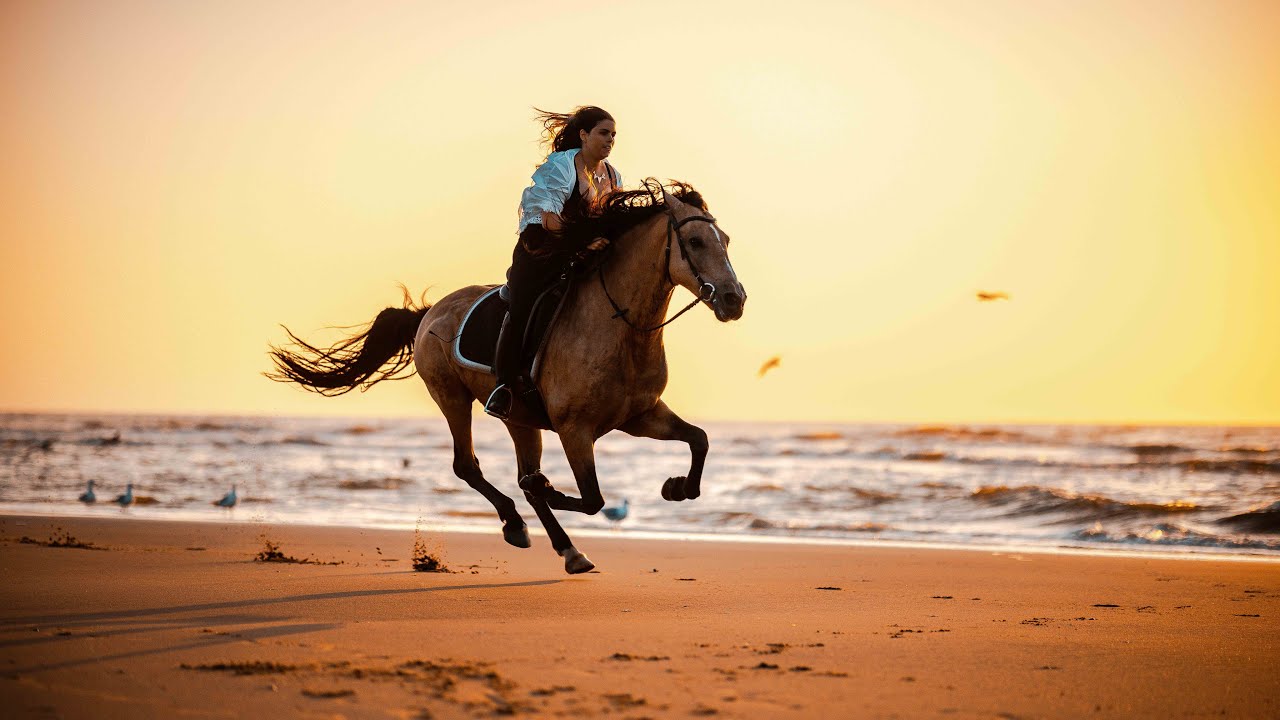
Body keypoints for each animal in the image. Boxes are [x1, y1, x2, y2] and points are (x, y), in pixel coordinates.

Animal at [267, 181, 747, 574]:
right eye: (695, 241)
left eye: (724, 240)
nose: (733, 299)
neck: (620, 325)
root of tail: (430, 312)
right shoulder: (576, 430)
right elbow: (592, 498)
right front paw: (553, 489)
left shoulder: (641, 416)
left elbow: (700, 439)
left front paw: (676, 487)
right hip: (452, 397)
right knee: (469, 466)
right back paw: (518, 523)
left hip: (519, 417)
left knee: (517, 476)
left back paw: (568, 549)